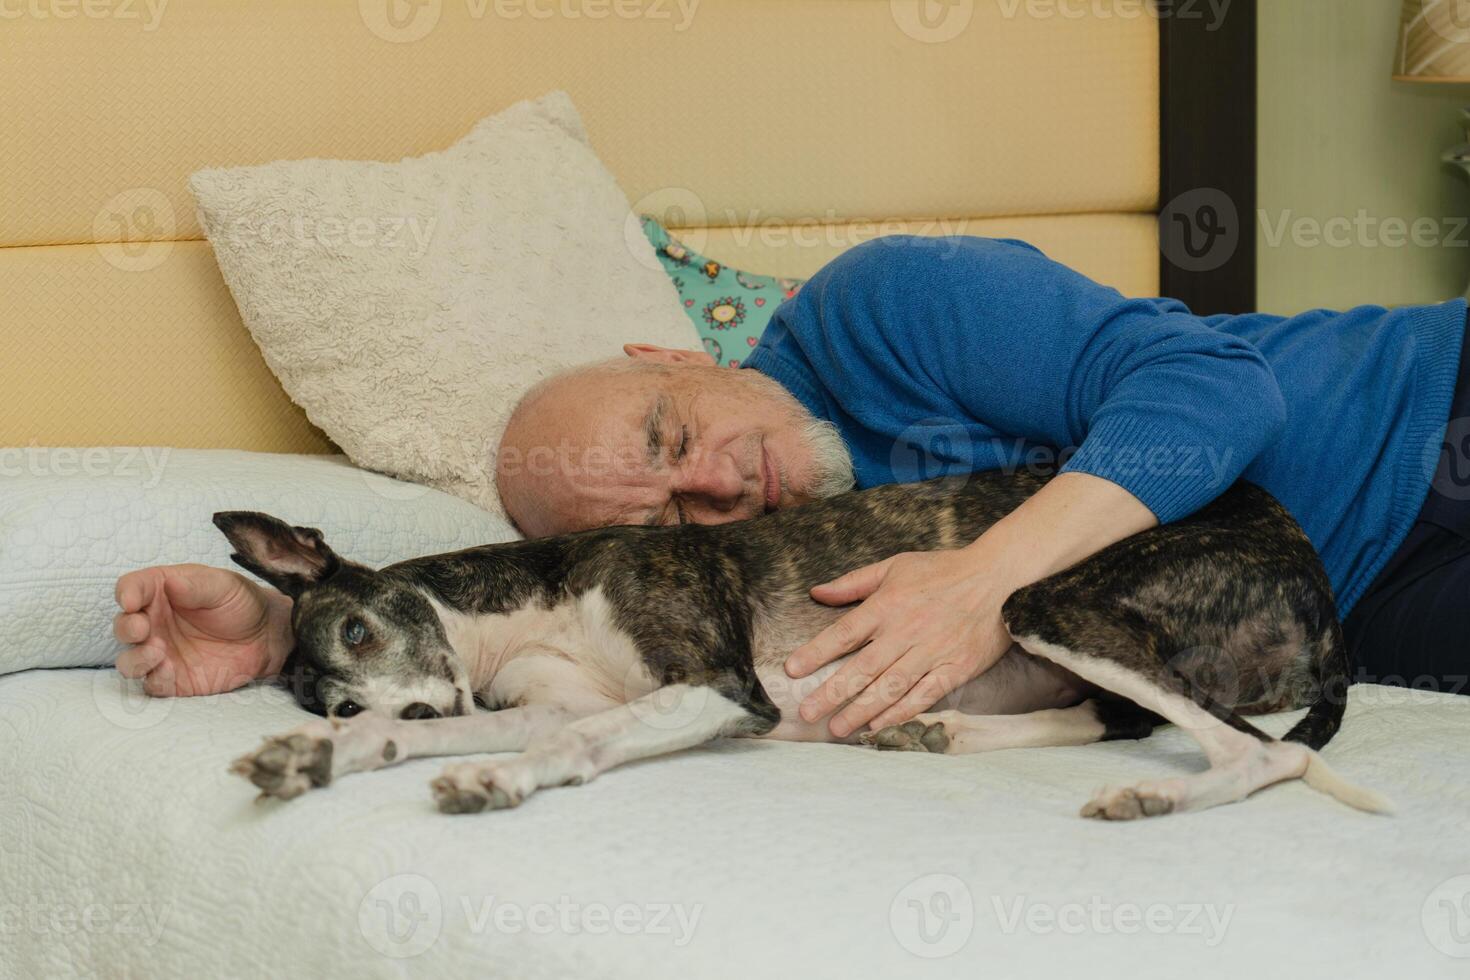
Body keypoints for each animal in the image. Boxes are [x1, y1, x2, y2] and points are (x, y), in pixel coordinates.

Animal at [220, 473, 1387, 822]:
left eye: (360, 625)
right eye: (331, 695)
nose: (418, 709)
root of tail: (1309, 566)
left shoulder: (725, 687)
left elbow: (584, 738)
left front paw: (494, 777)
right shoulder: (543, 696)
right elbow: (516, 729)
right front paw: (318, 760)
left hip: (1046, 597)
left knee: (1264, 752)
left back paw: (1156, 797)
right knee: (1123, 715)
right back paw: (936, 729)